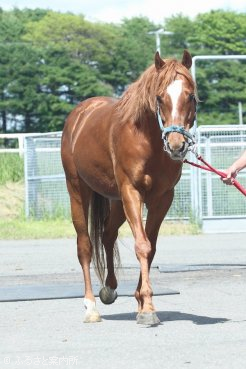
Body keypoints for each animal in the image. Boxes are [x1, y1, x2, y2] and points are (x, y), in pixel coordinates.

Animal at [61, 50, 198, 324]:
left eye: (190, 95)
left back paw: (109, 288)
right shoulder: (131, 192)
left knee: (107, 234)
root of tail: (79, 115)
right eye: (159, 97)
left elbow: (150, 247)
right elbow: (142, 245)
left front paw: (142, 302)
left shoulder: (162, 198)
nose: (176, 145)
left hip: (116, 201)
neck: (146, 140)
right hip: (78, 190)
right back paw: (91, 307)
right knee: (85, 246)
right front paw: (147, 308)